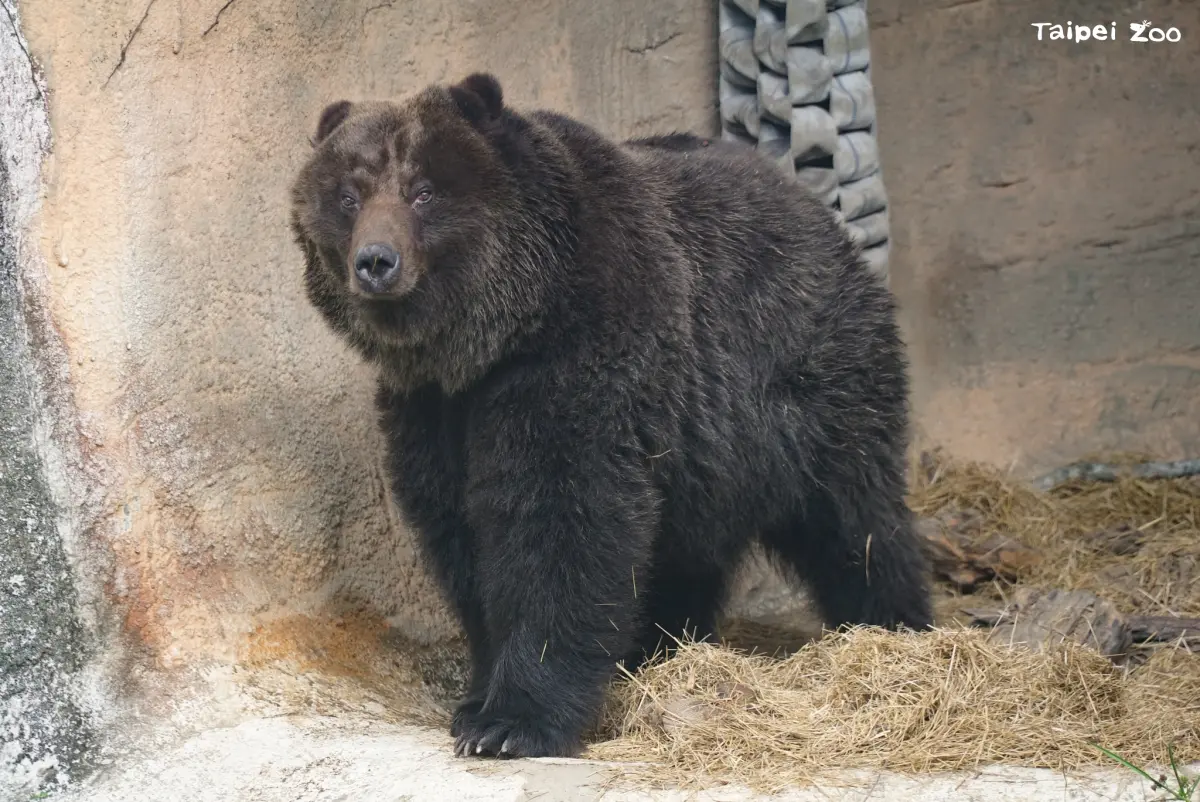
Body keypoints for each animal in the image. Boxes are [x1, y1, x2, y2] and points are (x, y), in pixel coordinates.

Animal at [289, 73, 933, 760]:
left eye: (423, 190)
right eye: (349, 196)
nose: (375, 261)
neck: (497, 337)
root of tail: (815, 209)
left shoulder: (586, 356)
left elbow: (561, 519)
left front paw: (512, 722)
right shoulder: (433, 410)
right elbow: (461, 533)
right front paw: (476, 699)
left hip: (809, 384)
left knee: (855, 520)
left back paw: (894, 625)